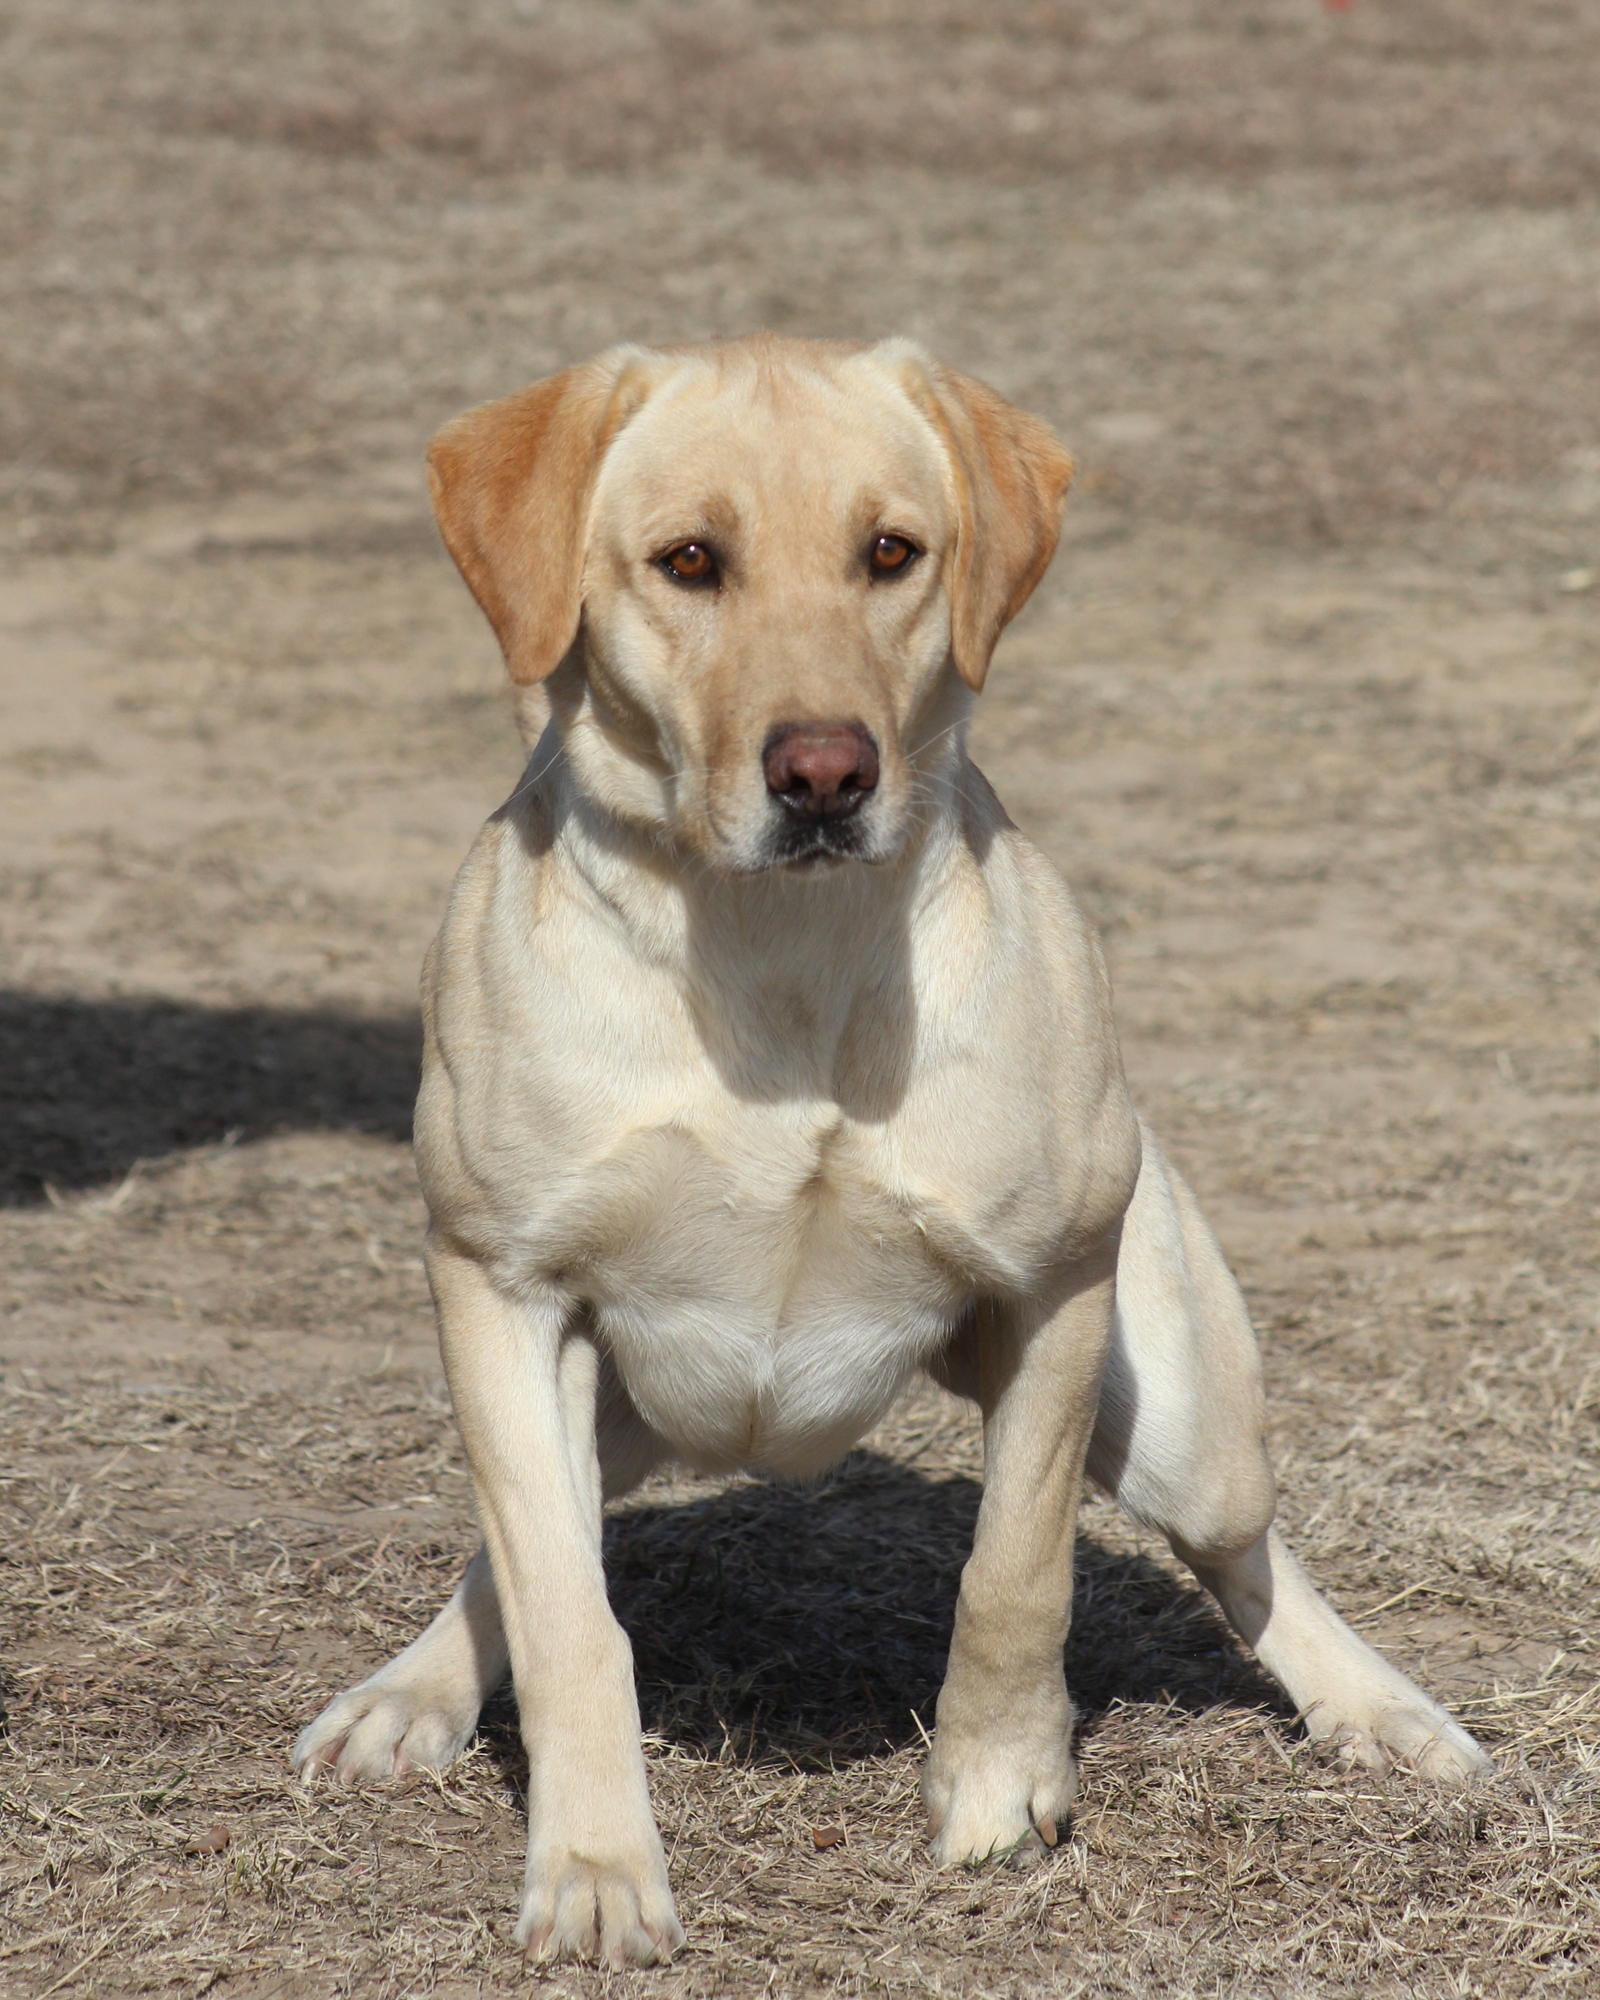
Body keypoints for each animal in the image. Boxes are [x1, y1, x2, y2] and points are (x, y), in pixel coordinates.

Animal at [294, 332, 1496, 1968]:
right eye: (690, 559)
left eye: (891, 554)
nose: (823, 772)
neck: (779, 957)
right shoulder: (498, 1286)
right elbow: (563, 1610)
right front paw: (596, 1864)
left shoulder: (1054, 1292)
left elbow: (1016, 1568)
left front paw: (998, 1785)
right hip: (594, 1401)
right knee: (523, 1542)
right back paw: (408, 1693)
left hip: (1188, 1420)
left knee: (1250, 1555)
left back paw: (1384, 1711)